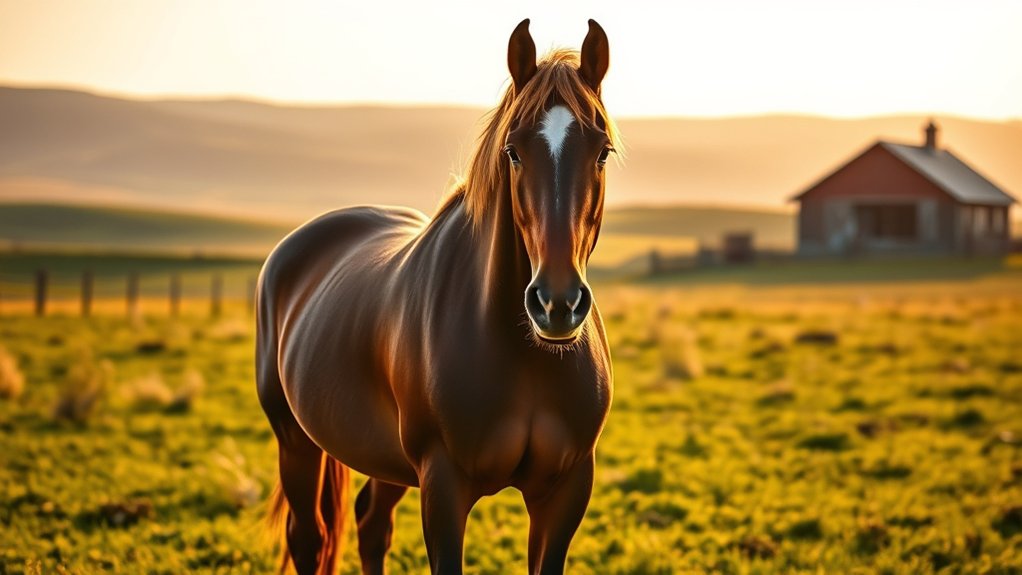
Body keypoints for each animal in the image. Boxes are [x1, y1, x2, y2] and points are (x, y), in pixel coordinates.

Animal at [256, 19, 618, 575]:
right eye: (513, 151)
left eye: (602, 152)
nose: (556, 305)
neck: (526, 357)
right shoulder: (443, 486)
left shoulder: (566, 491)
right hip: (295, 442)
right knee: (309, 539)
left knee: (370, 524)